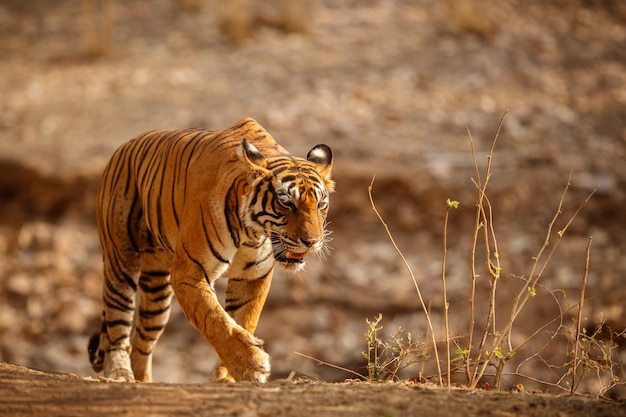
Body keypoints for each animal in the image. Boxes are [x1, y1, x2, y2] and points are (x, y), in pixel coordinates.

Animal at [89, 116, 332, 380]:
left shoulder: (253, 277)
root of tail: (124, 147)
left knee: (142, 342)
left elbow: (244, 319)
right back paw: (119, 373)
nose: (312, 242)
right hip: (121, 262)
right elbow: (214, 318)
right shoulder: (189, 272)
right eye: (286, 203)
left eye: (321, 205)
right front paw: (250, 364)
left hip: (157, 288)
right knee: (118, 322)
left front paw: (227, 375)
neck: (252, 234)